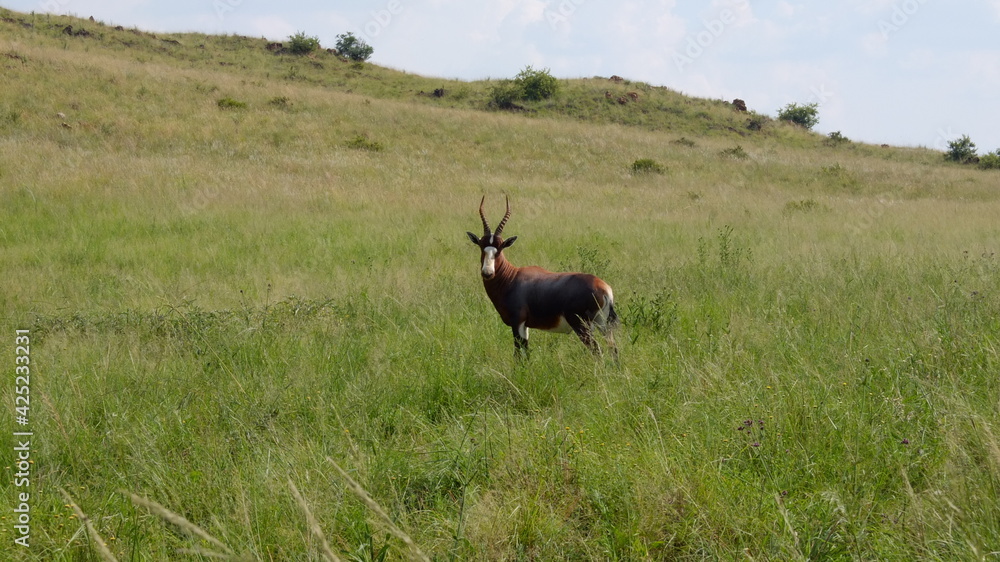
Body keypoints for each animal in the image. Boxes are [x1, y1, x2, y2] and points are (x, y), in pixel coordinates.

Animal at [467, 196, 618, 357]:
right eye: (481, 246)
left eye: (500, 248)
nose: (487, 273)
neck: (511, 278)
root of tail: (605, 289)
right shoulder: (525, 325)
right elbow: (526, 352)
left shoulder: (517, 322)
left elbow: (518, 353)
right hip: (603, 325)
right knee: (613, 349)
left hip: (583, 326)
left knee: (597, 352)